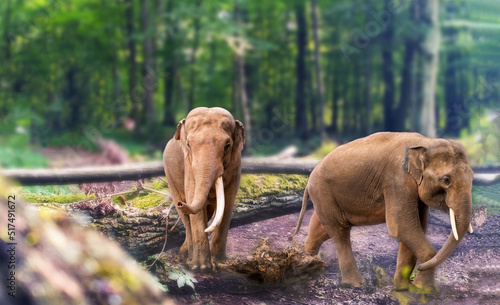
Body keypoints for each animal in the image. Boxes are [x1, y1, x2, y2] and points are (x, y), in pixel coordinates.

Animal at [164, 106, 244, 268]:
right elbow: (193, 199)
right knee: (187, 218)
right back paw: (187, 257)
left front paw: (219, 264)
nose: (181, 203)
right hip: (170, 176)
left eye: (227, 146)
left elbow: (227, 203)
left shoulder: (236, 165)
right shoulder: (189, 165)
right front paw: (201, 268)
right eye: (188, 144)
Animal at [294, 132, 474, 290]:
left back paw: (307, 267)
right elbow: (401, 226)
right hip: (323, 190)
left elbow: (415, 228)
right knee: (340, 230)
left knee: (321, 229)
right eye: (446, 180)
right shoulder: (396, 179)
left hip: (324, 196)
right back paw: (355, 285)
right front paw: (425, 290)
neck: (425, 141)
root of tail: (309, 178)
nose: (420, 268)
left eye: (473, 177)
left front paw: (404, 289)